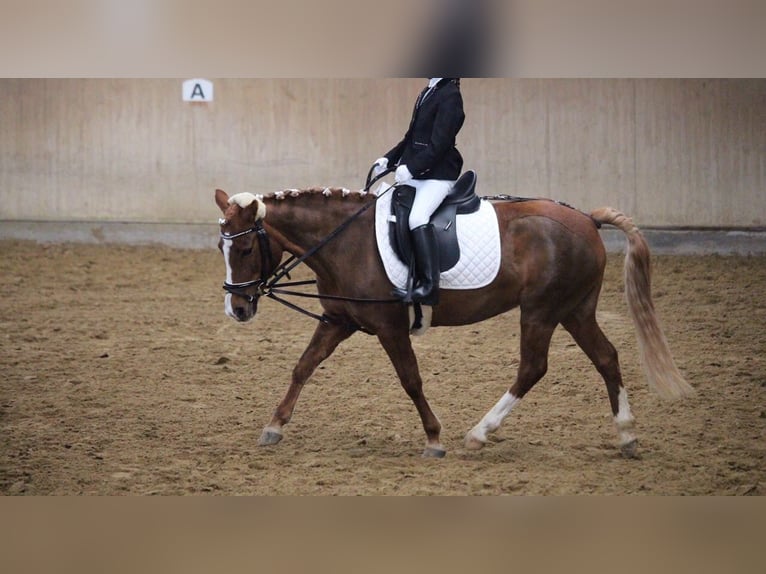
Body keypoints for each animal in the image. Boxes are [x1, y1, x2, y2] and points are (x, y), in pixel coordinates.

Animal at [216, 188, 696, 460]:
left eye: (244, 250)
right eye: (222, 248)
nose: (237, 309)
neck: (346, 242)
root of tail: (588, 219)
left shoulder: (389, 327)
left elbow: (410, 379)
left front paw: (434, 438)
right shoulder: (338, 320)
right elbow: (303, 366)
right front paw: (274, 426)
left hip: (542, 310)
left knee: (533, 367)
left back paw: (479, 434)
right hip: (574, 309)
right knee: (606, 358)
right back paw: (627, 436)